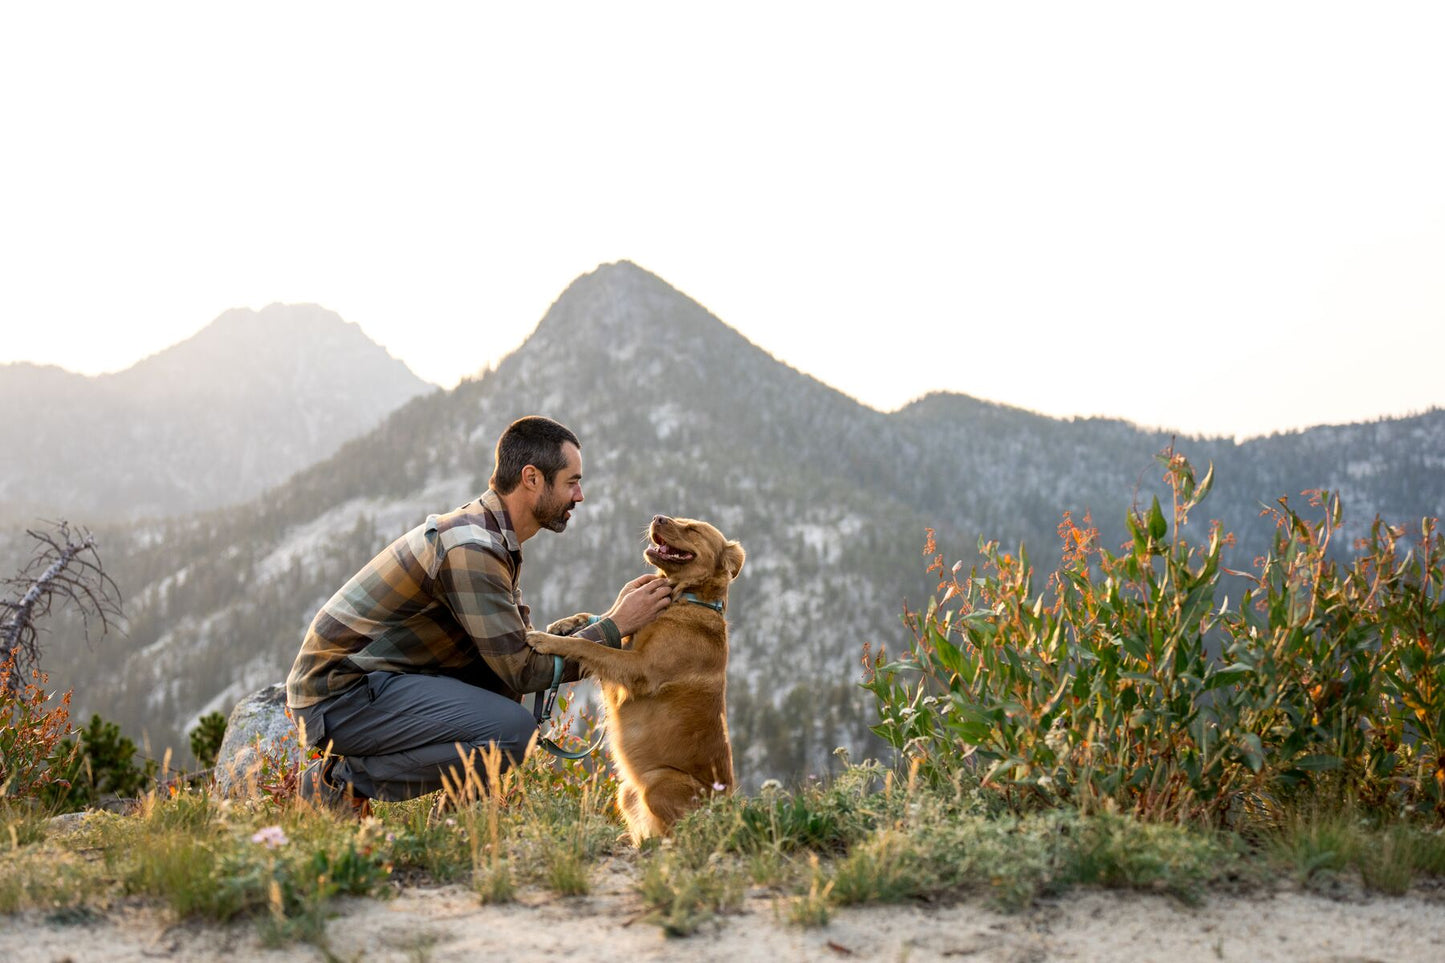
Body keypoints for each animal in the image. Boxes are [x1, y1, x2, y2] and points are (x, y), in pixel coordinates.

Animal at [531, 508, 745, 838]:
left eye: (693, 529)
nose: (658, 517)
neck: (685, 599)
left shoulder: (639, 669)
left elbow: (590, 646)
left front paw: (548, 640)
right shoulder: (627, 647)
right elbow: (602, 621)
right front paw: (565, 624)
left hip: (657, 781)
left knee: (675, 833)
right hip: (627, 790)